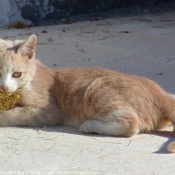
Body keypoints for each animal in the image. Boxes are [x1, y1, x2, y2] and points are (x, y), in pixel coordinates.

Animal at [0, 34, 175, 152]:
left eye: (16, 74)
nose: (3, 88)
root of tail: (161, 95)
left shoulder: (50, 111)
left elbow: (16, 113)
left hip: (97, 88)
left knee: (131, 124)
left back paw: (90, 125)